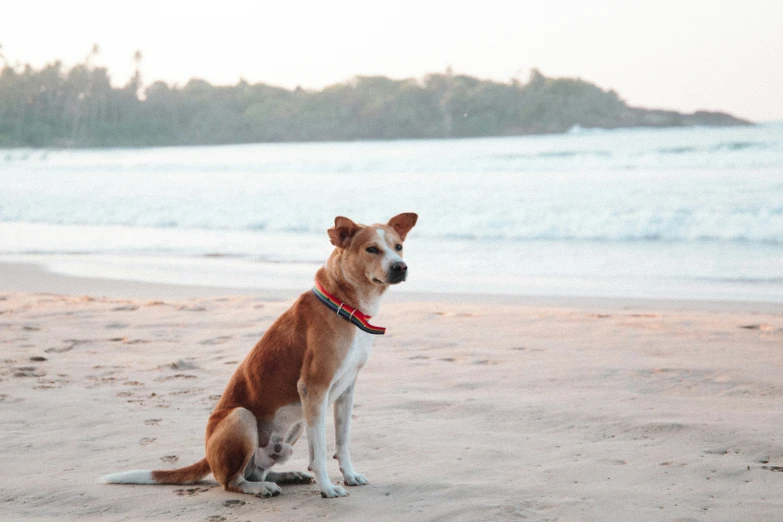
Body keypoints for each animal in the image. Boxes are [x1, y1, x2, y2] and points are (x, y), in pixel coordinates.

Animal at [102, 211, 420, 496]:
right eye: (372, 249)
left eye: (398, 247)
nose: (400, 267)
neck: (344, 305)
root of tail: (208, 456)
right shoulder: (314, 389)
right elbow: (319, 452)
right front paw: (328, 488)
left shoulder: (345, 391)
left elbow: (342, 442)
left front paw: (350, 475)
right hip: (243, 418)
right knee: (232, 481)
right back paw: (259, 488)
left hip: (295, 425)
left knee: (258, 469)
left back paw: (286, 476)